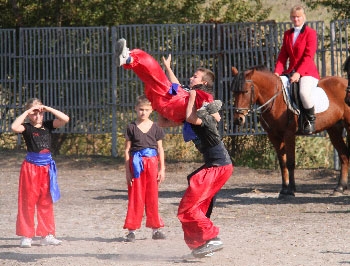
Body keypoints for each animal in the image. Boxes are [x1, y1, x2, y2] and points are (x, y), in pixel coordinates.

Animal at [231, 65, 348, 198]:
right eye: (233, 92)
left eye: (245, 91)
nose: (238, 119)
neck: (275, 100)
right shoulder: (274, 136)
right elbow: (283, 163)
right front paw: (284, 189)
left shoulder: (289, 134)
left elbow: (290, 162)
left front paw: (291, 190)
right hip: (334, 129)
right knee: (344, 155)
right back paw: (339, 188)